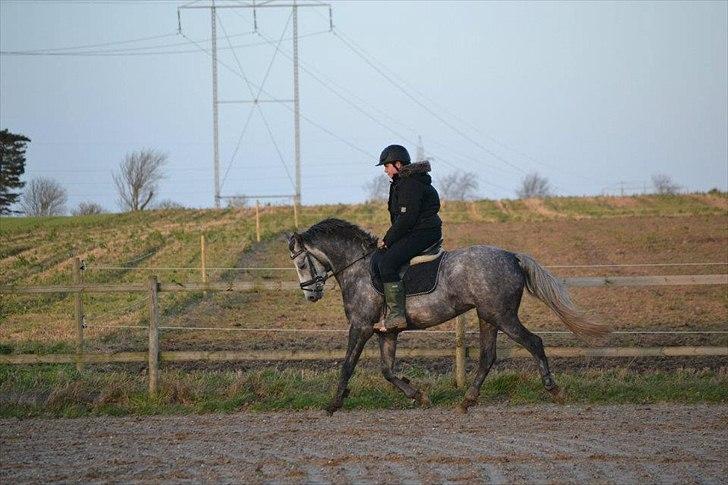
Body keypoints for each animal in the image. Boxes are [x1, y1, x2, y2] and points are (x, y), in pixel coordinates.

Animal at [286, 218, 608, 412]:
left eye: (301, 263)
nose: (310, 295)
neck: (359, 268)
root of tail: (512, 257)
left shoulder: (361, 327)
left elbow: (347, 365)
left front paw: (333, 404)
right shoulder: (385, 331)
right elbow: (388, 371)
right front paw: (419, 396)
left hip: (502, 316)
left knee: (534, 343)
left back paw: (555, 391)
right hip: (487, 317)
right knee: (488, 356)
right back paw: (467, 400)